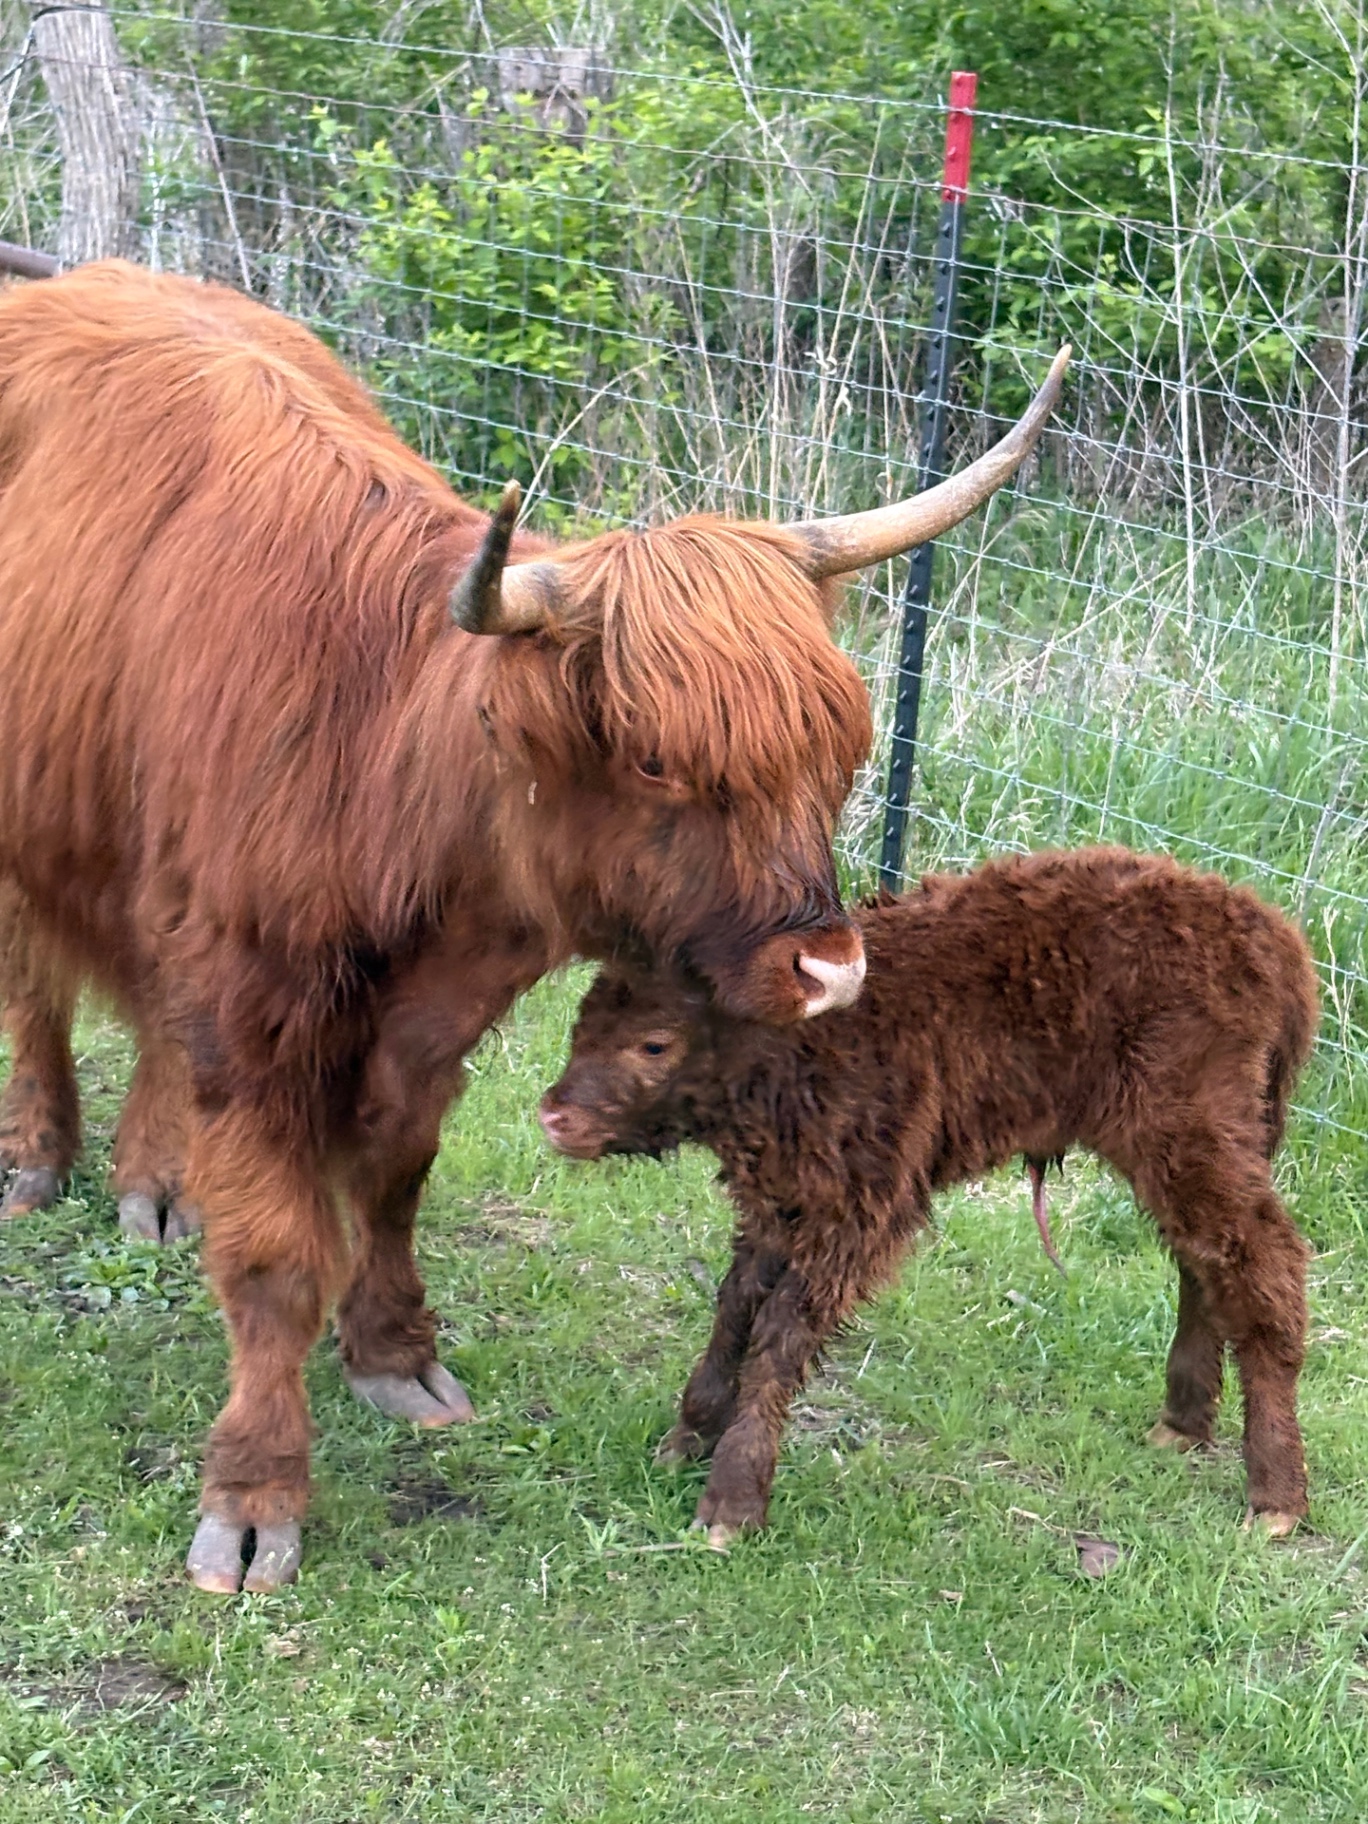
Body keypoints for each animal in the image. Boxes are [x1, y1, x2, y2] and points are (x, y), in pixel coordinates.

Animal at [0, 260, 1066, 1589]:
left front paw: (394, 1355)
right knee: (34, 981)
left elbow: (393, 1175)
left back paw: (155, 1183)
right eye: (660, 763)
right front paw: (254, 1497)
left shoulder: (425, 1018)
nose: (829, 970)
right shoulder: (253, 1004)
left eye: (839, 753)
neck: (380, 750)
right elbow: (277, 1255)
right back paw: (41, 1157)